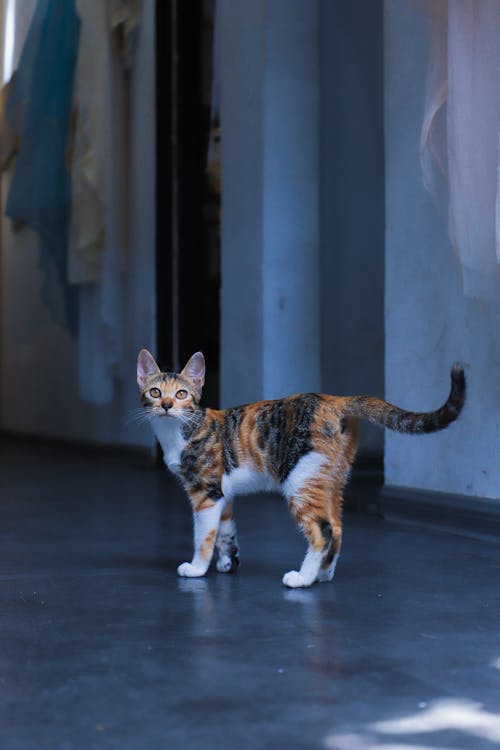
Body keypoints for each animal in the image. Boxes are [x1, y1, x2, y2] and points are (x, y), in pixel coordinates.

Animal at [136, 350, 464, 592]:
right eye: (155, 391)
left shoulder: (205, 492)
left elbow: (203, 536)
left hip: (300, 480)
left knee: (323, 530)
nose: (166, 405)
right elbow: (226, 531)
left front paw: (196, 568)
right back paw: (323, 574)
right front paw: (228, 563)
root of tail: (334, 400)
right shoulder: (222, 492)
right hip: (332, 477)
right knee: (338, 527)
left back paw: (303, 579)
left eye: (181, 394)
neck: (181, 430)